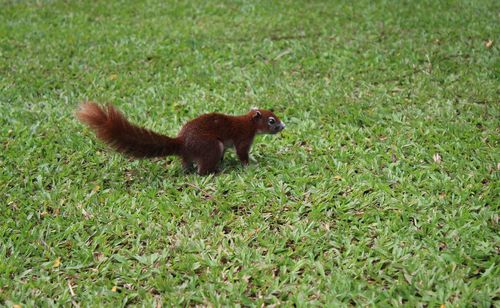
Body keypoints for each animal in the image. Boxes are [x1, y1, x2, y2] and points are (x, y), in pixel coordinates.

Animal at [75, 103, 286, 174]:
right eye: (272, 120)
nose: (283, 126)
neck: (249, 122)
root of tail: (182, 143)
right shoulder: (243, 137)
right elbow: (242, 153)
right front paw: (250, 165)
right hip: (212, 146)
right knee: (202, 169)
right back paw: (216, 171)